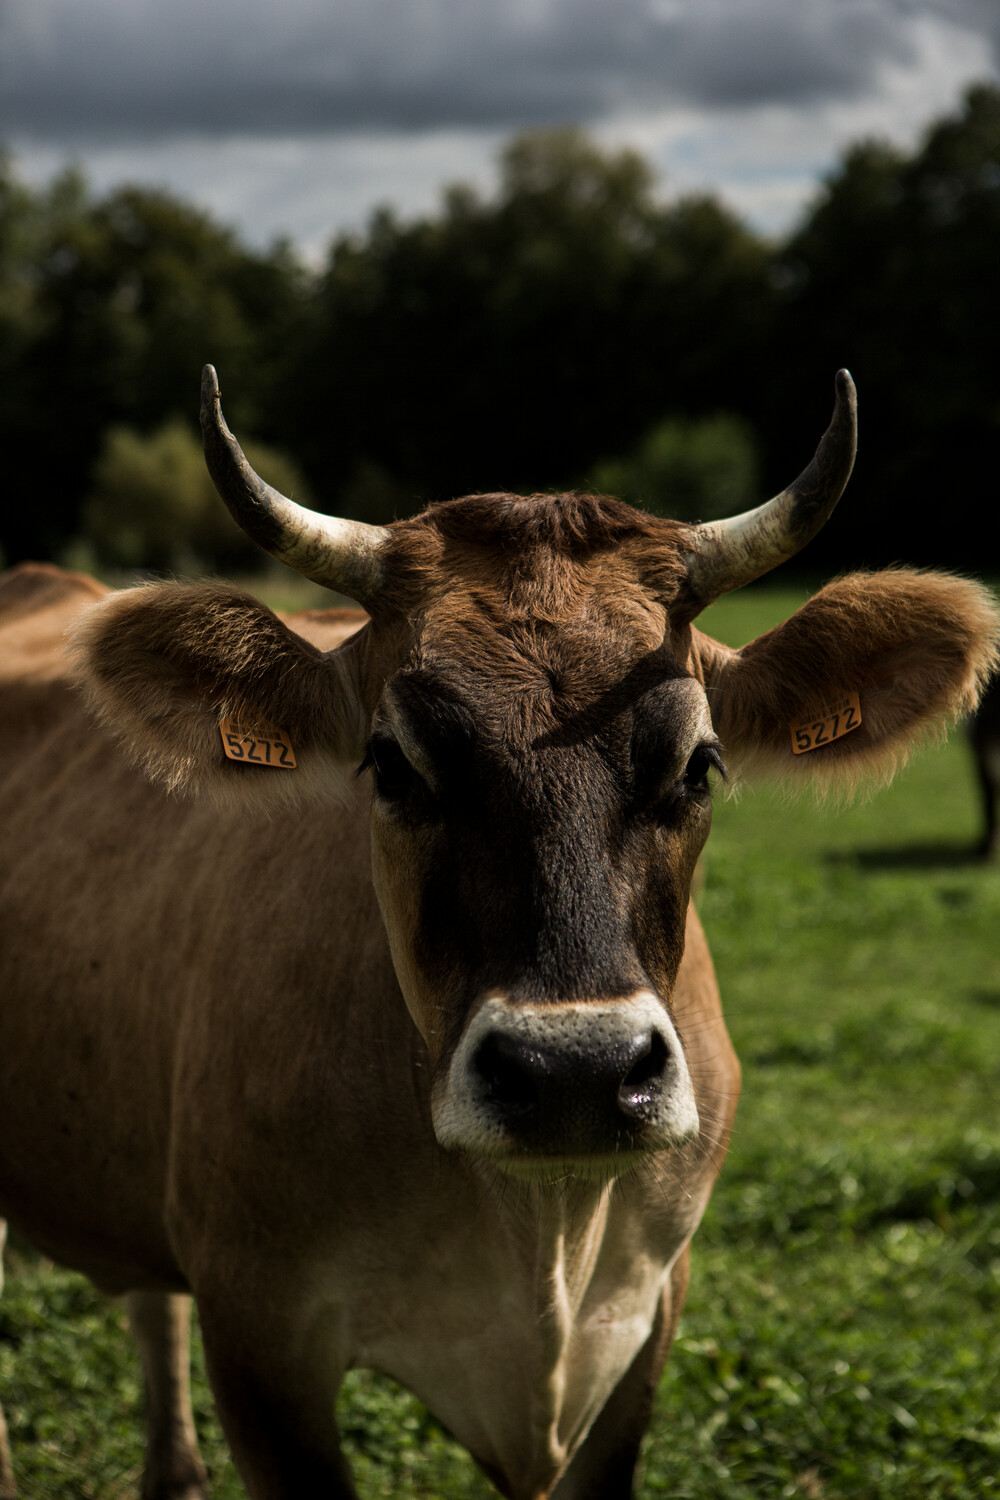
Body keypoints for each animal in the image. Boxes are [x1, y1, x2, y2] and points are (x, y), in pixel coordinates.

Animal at [0, 366, 995, 1500]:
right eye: (392, 763)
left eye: (700, 763)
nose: (575, 1073)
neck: (540, 1240)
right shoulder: (258, 1336)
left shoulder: (646, 1321)